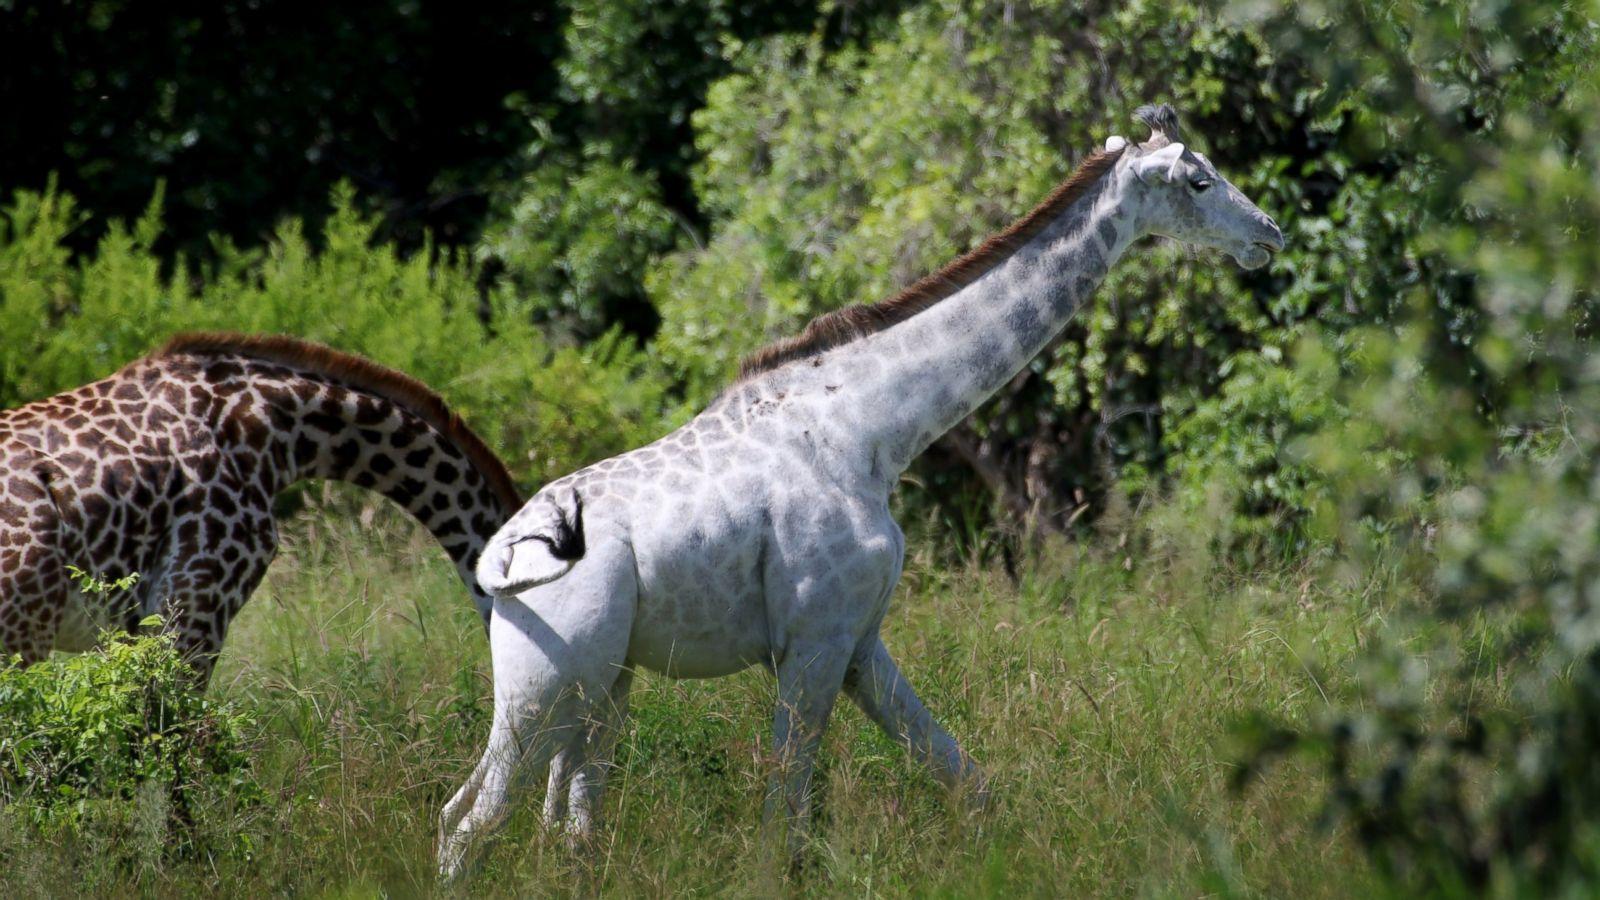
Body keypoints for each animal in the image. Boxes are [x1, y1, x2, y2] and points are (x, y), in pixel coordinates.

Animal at [437, 103, 1285, 877]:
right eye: (1199, 179)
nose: (1270, 234)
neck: (871, 428)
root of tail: (497, 560)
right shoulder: (813, 639)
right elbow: (783, 819)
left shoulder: (859, 639)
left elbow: (968, 780)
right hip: (547, 685)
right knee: (470, 820)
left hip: (602, 687)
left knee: (559, 829)